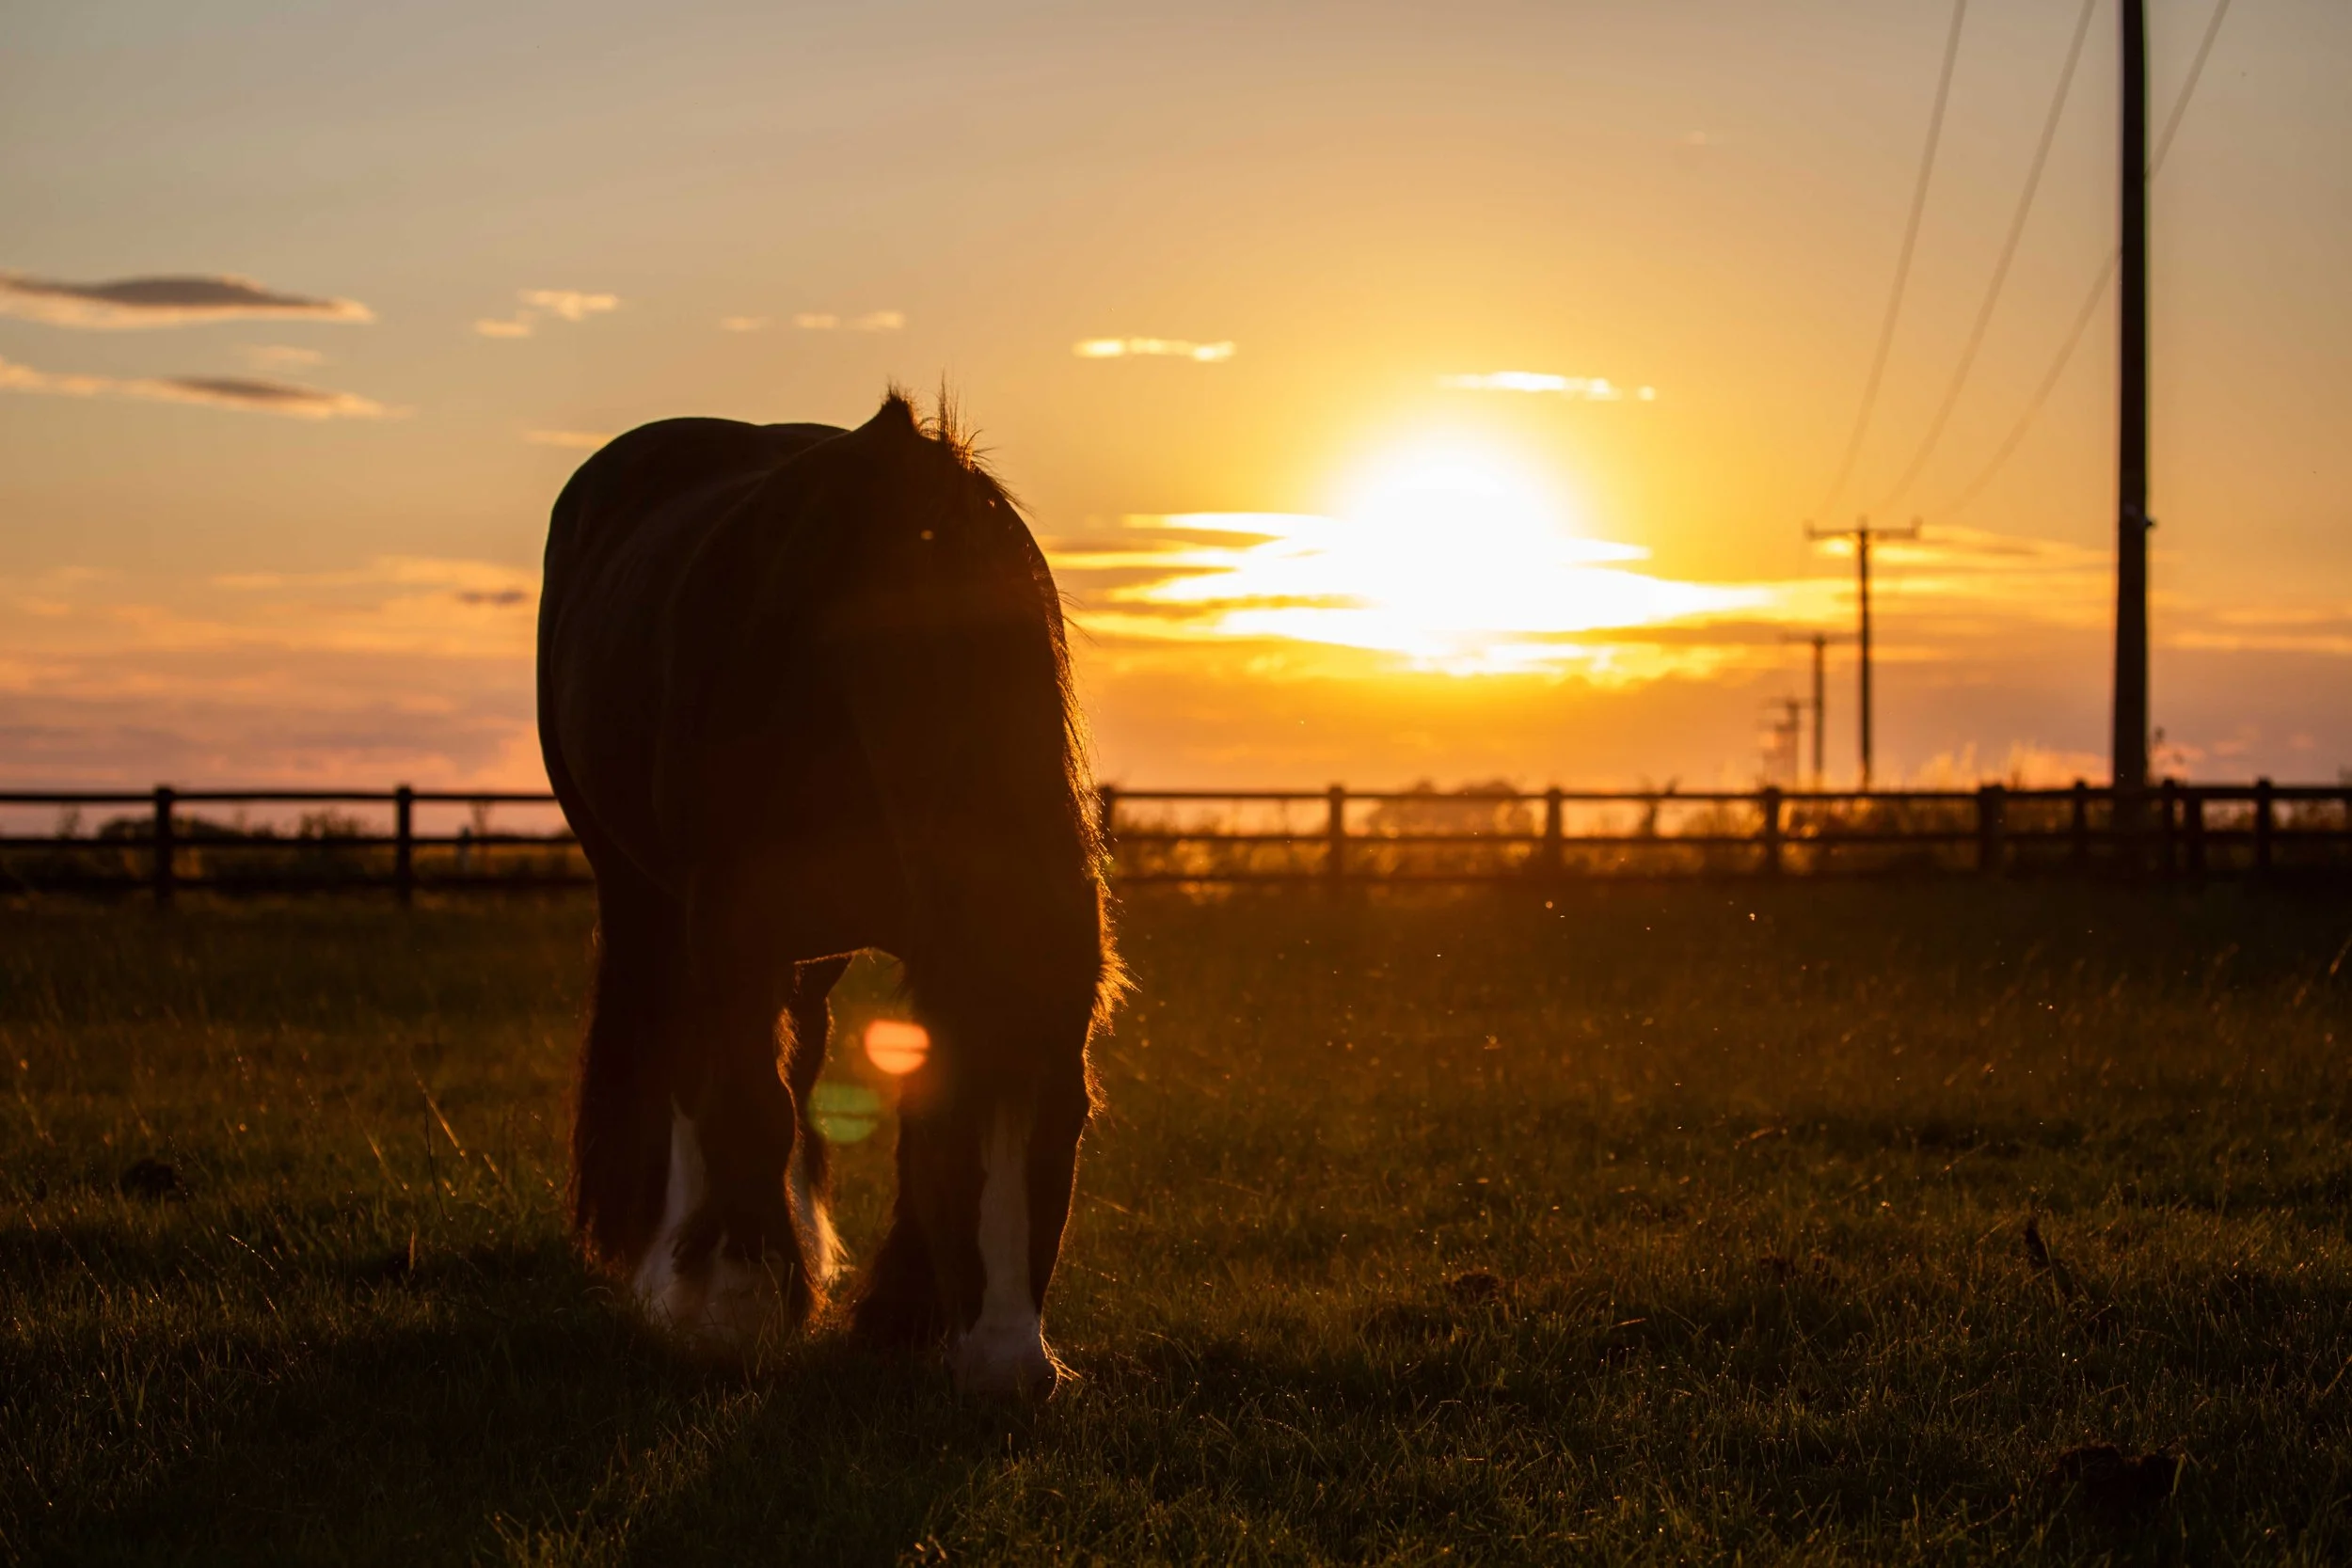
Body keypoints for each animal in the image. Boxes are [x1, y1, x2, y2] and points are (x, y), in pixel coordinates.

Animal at [536, 390, 1120, 1395]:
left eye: (1072, 1123)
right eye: (955, 1131)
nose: (1010, 1368)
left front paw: (895, 1313)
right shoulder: (728, 921)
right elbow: (748, 1104)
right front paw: (739, 1303)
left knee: (795, 1047)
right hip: (645, 897)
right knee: (683, 1055)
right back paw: (678, 1267)